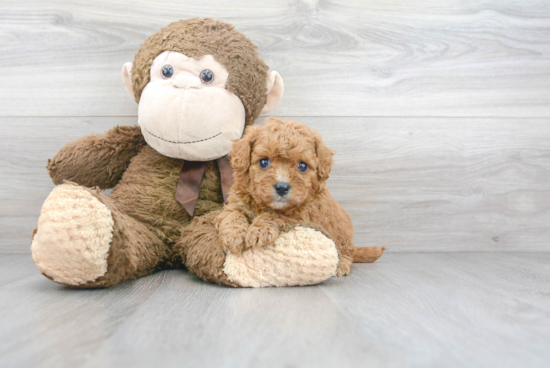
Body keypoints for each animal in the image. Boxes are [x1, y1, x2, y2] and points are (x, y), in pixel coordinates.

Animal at [213, 117, 386, 276]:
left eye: (302, 166)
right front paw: (233, 235)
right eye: (264, 162)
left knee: (346, 251)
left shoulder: (302, 216)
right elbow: (233, 215)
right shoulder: (235, 203)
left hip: (343, 233)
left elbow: (275, 215)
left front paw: (259, 230)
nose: (282, 187)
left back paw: (342, 264)